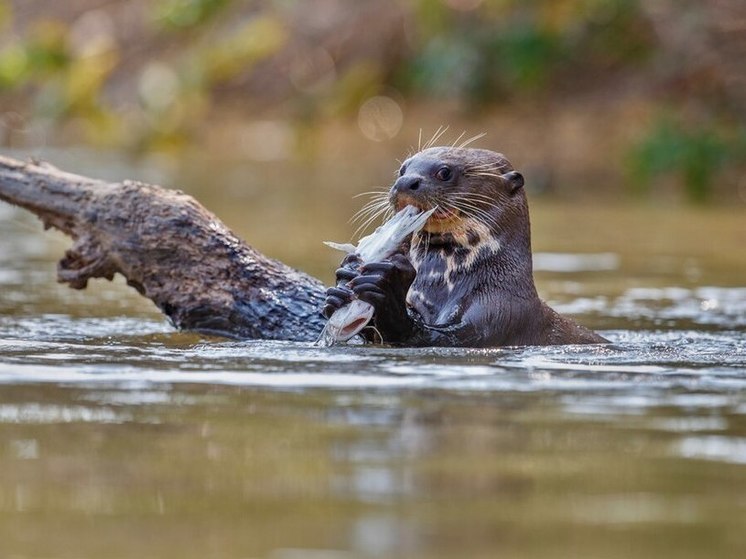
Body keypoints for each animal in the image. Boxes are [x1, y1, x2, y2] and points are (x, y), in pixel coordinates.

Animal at [320, 147, 604, 348]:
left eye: (444, 172)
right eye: (402, 169)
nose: (405, 182)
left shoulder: (497, 315)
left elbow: (433, 337)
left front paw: (386, 285)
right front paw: (342, 281)